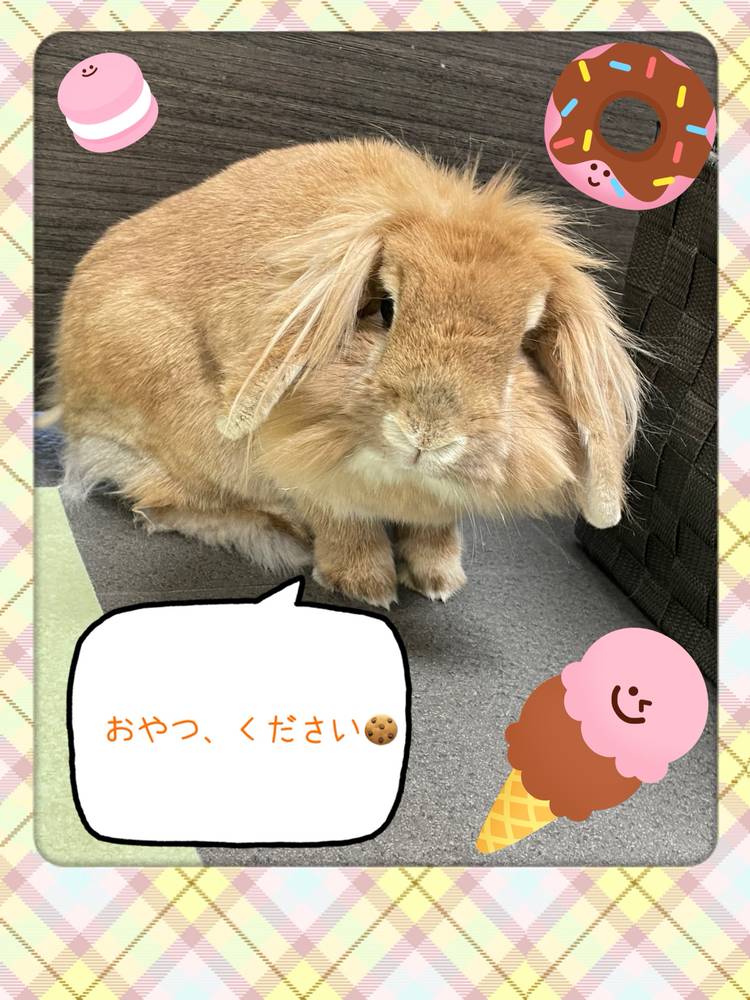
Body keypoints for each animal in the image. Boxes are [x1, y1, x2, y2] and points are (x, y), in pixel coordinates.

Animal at [49, 137, 640, 608]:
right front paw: (368, 586)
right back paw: (277, 538)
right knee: (161, 497)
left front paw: (439, 581)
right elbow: (340, 517)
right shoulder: (298, 462)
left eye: (523, 343)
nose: (427, 435)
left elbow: (435, 529)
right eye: (386, 308)